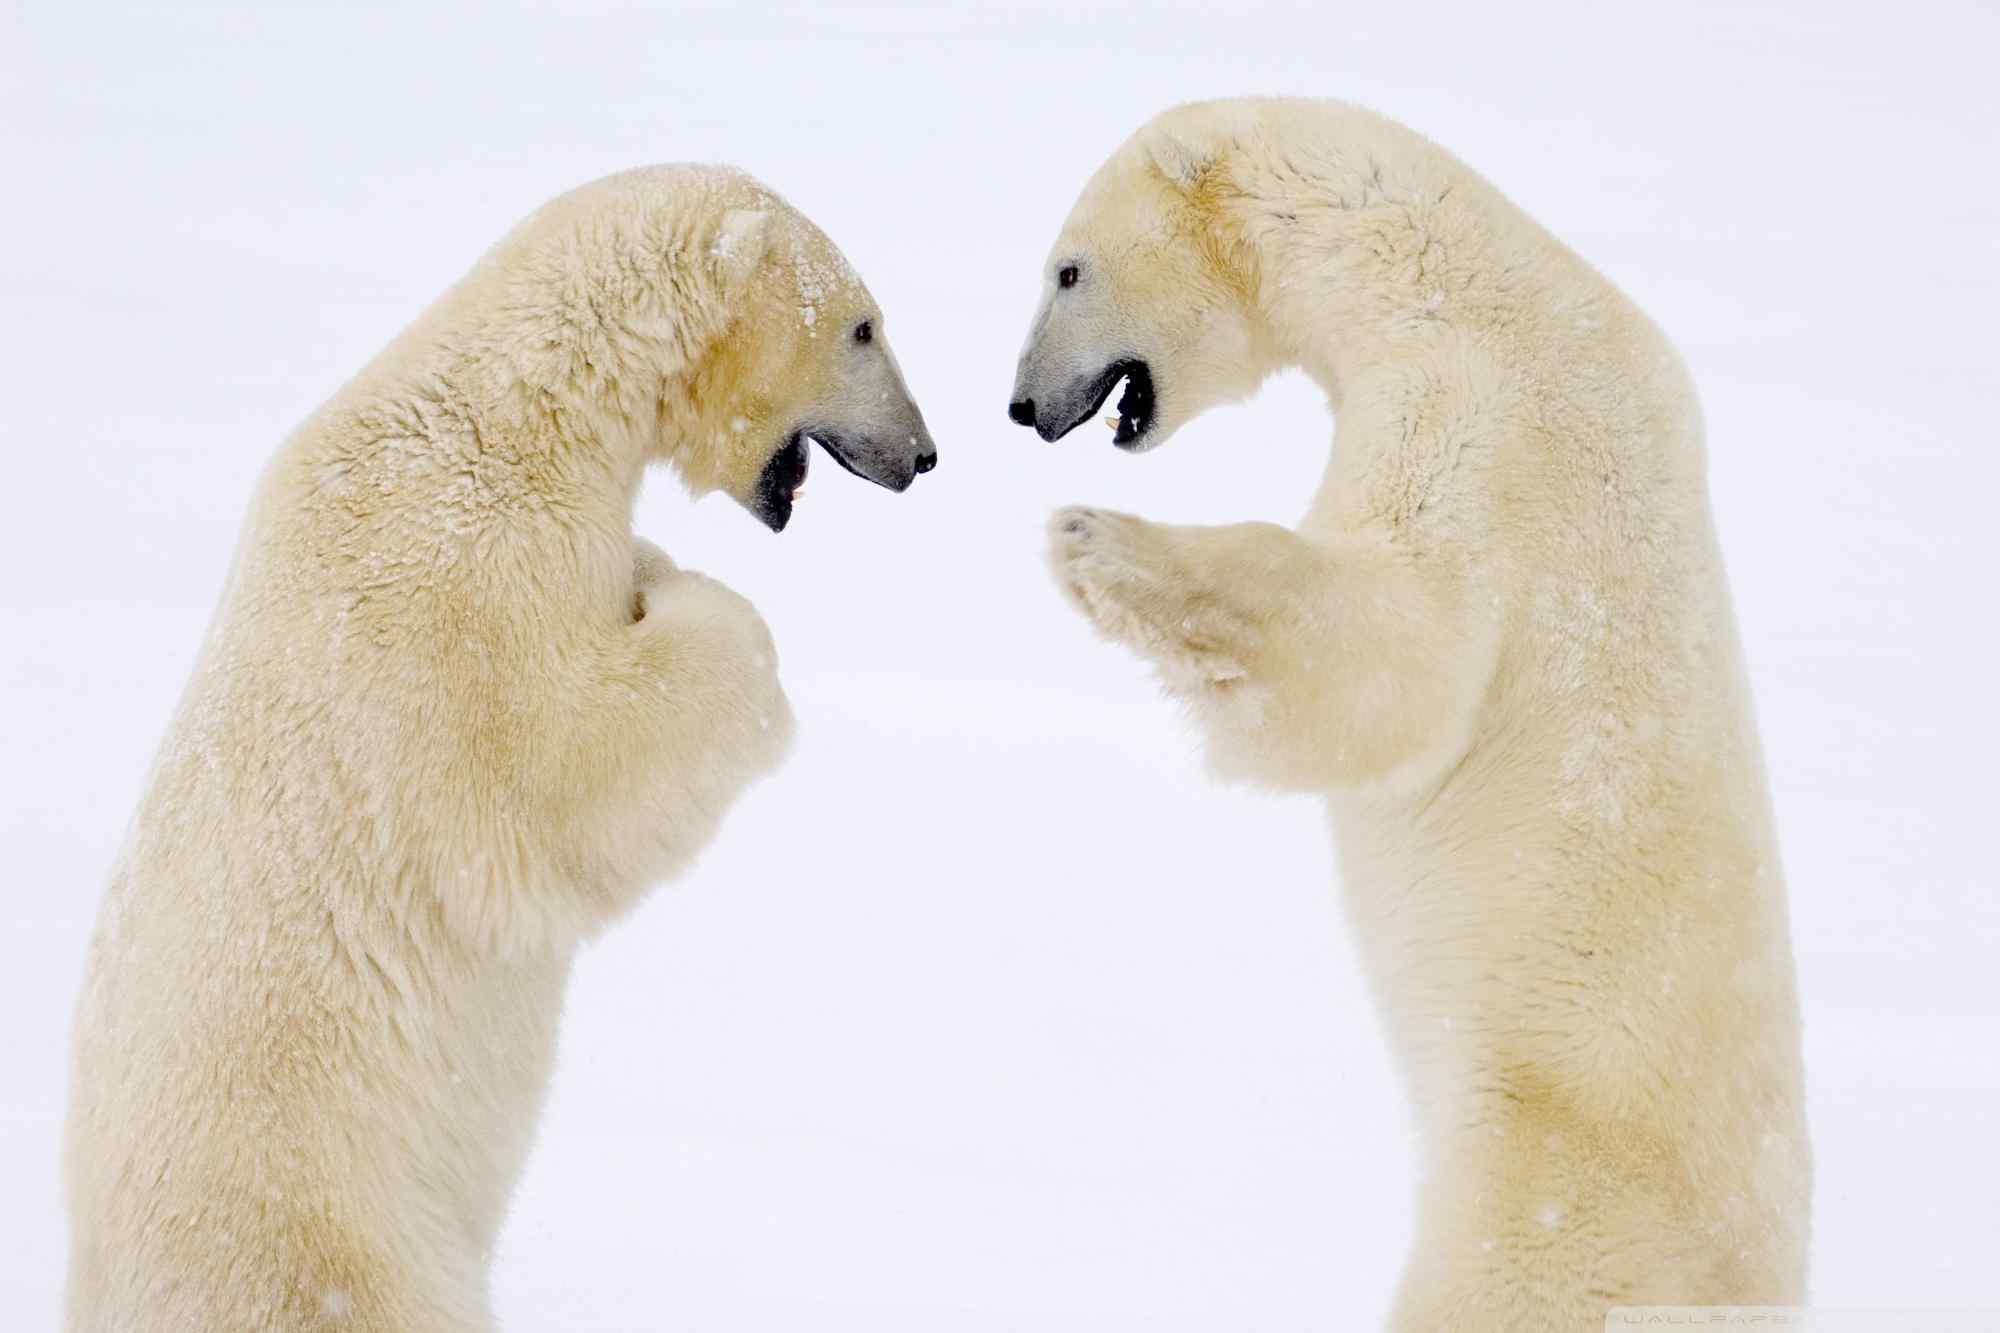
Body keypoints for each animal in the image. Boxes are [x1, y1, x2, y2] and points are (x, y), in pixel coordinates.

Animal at [64, 166, 936, 1328]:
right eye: (862, 327)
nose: (923, 455)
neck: (518, 410)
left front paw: (654, 565)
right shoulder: (462, 587)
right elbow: (561, 776)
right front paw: (691, 601)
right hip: (330, 1246)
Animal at [1016, 98, 1816, 1320]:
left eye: (1066, 268)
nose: (1020, 405)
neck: (1445, 269)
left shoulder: (1482, 420)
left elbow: (1401, 651)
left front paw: (1100, 543)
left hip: (1547, 1186)